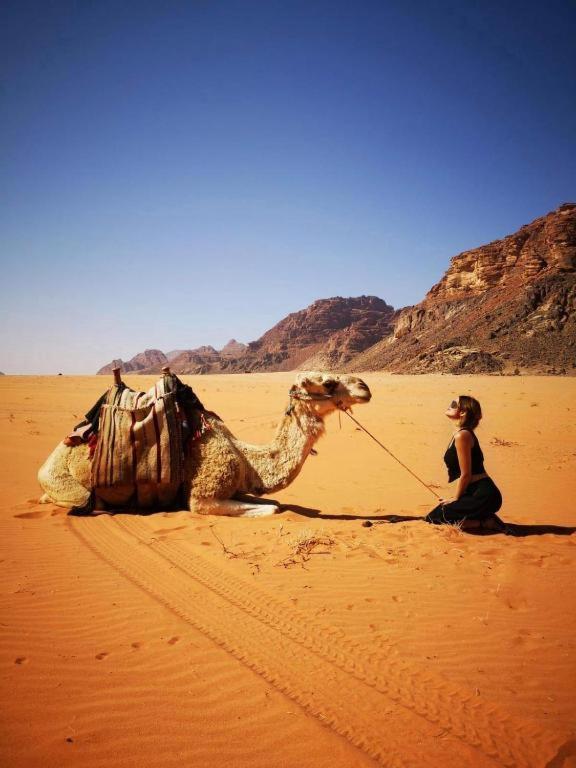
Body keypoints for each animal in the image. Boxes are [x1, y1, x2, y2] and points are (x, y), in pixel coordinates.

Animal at [38, 372, 372, 516]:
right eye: (328, 382)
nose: (365, 388)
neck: (245, 459)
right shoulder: (203, 496)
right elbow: (271, 511)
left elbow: (274, 504)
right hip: (65, 483)